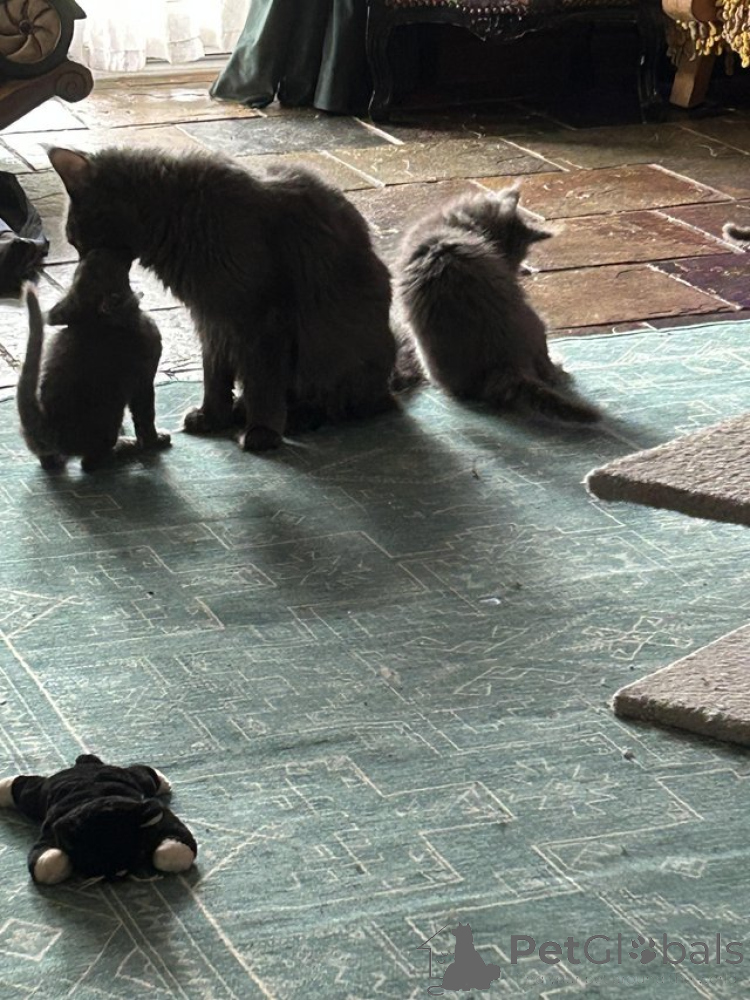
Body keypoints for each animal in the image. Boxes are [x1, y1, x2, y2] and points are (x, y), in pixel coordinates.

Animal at [17, 248, 170, 472]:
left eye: (80, 271)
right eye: (106, 268)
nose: (97, 250)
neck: (95, 321)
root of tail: (48, 426)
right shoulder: (144, 381)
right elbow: (146, 417)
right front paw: (155, 441)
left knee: (48, 461)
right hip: (112, 417)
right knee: (89, 463)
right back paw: (123, 448)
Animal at [46, 147, 397, 453]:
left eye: (75, 239)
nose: (80, 263)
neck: (181, 214)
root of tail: (390, 383)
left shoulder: (261, 319)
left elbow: (263, 384)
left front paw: (262, 431)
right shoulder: (212, 320)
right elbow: (214, 376)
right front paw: (213, 417)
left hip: (330, 351)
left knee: (343, 404)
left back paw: (296, 418)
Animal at [396, 187, 599, 423]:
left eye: (513, 258)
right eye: (504, 257)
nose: (514, 271)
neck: (456, 228)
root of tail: (505, 366)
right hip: (535, 322)